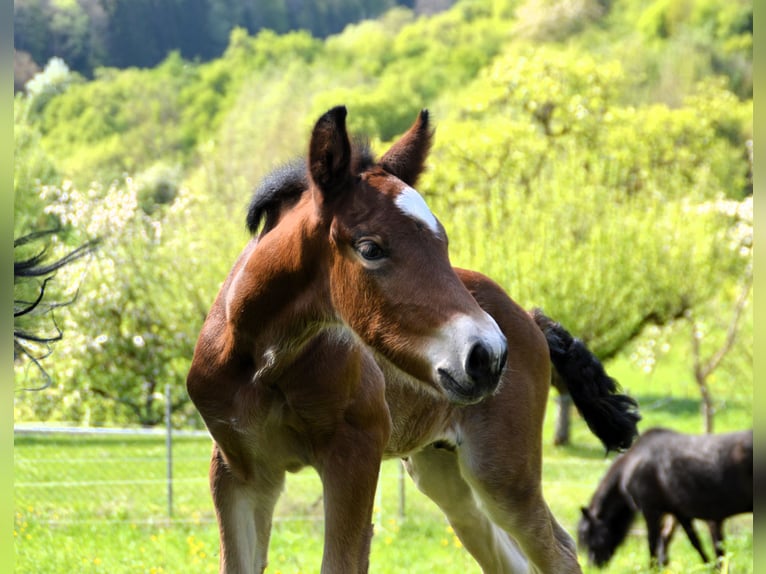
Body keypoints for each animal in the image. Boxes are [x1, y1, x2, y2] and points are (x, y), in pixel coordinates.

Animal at [186, 106, 640, 574]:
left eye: (443, 241)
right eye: (370, 248)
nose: (488, 356)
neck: (263, 363)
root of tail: (527, 317)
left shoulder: (354, 457)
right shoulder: (239, 474)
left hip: (502, 473)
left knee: (558, 552)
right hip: (442, 472)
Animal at [578, 427, 753, 568]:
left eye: (589, 536)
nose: (592, 566)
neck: (632, 463)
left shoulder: (651, 510)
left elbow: (652, 543)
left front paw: (652, 567)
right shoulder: (679, 513)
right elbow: (695, 542)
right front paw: (709, 566)